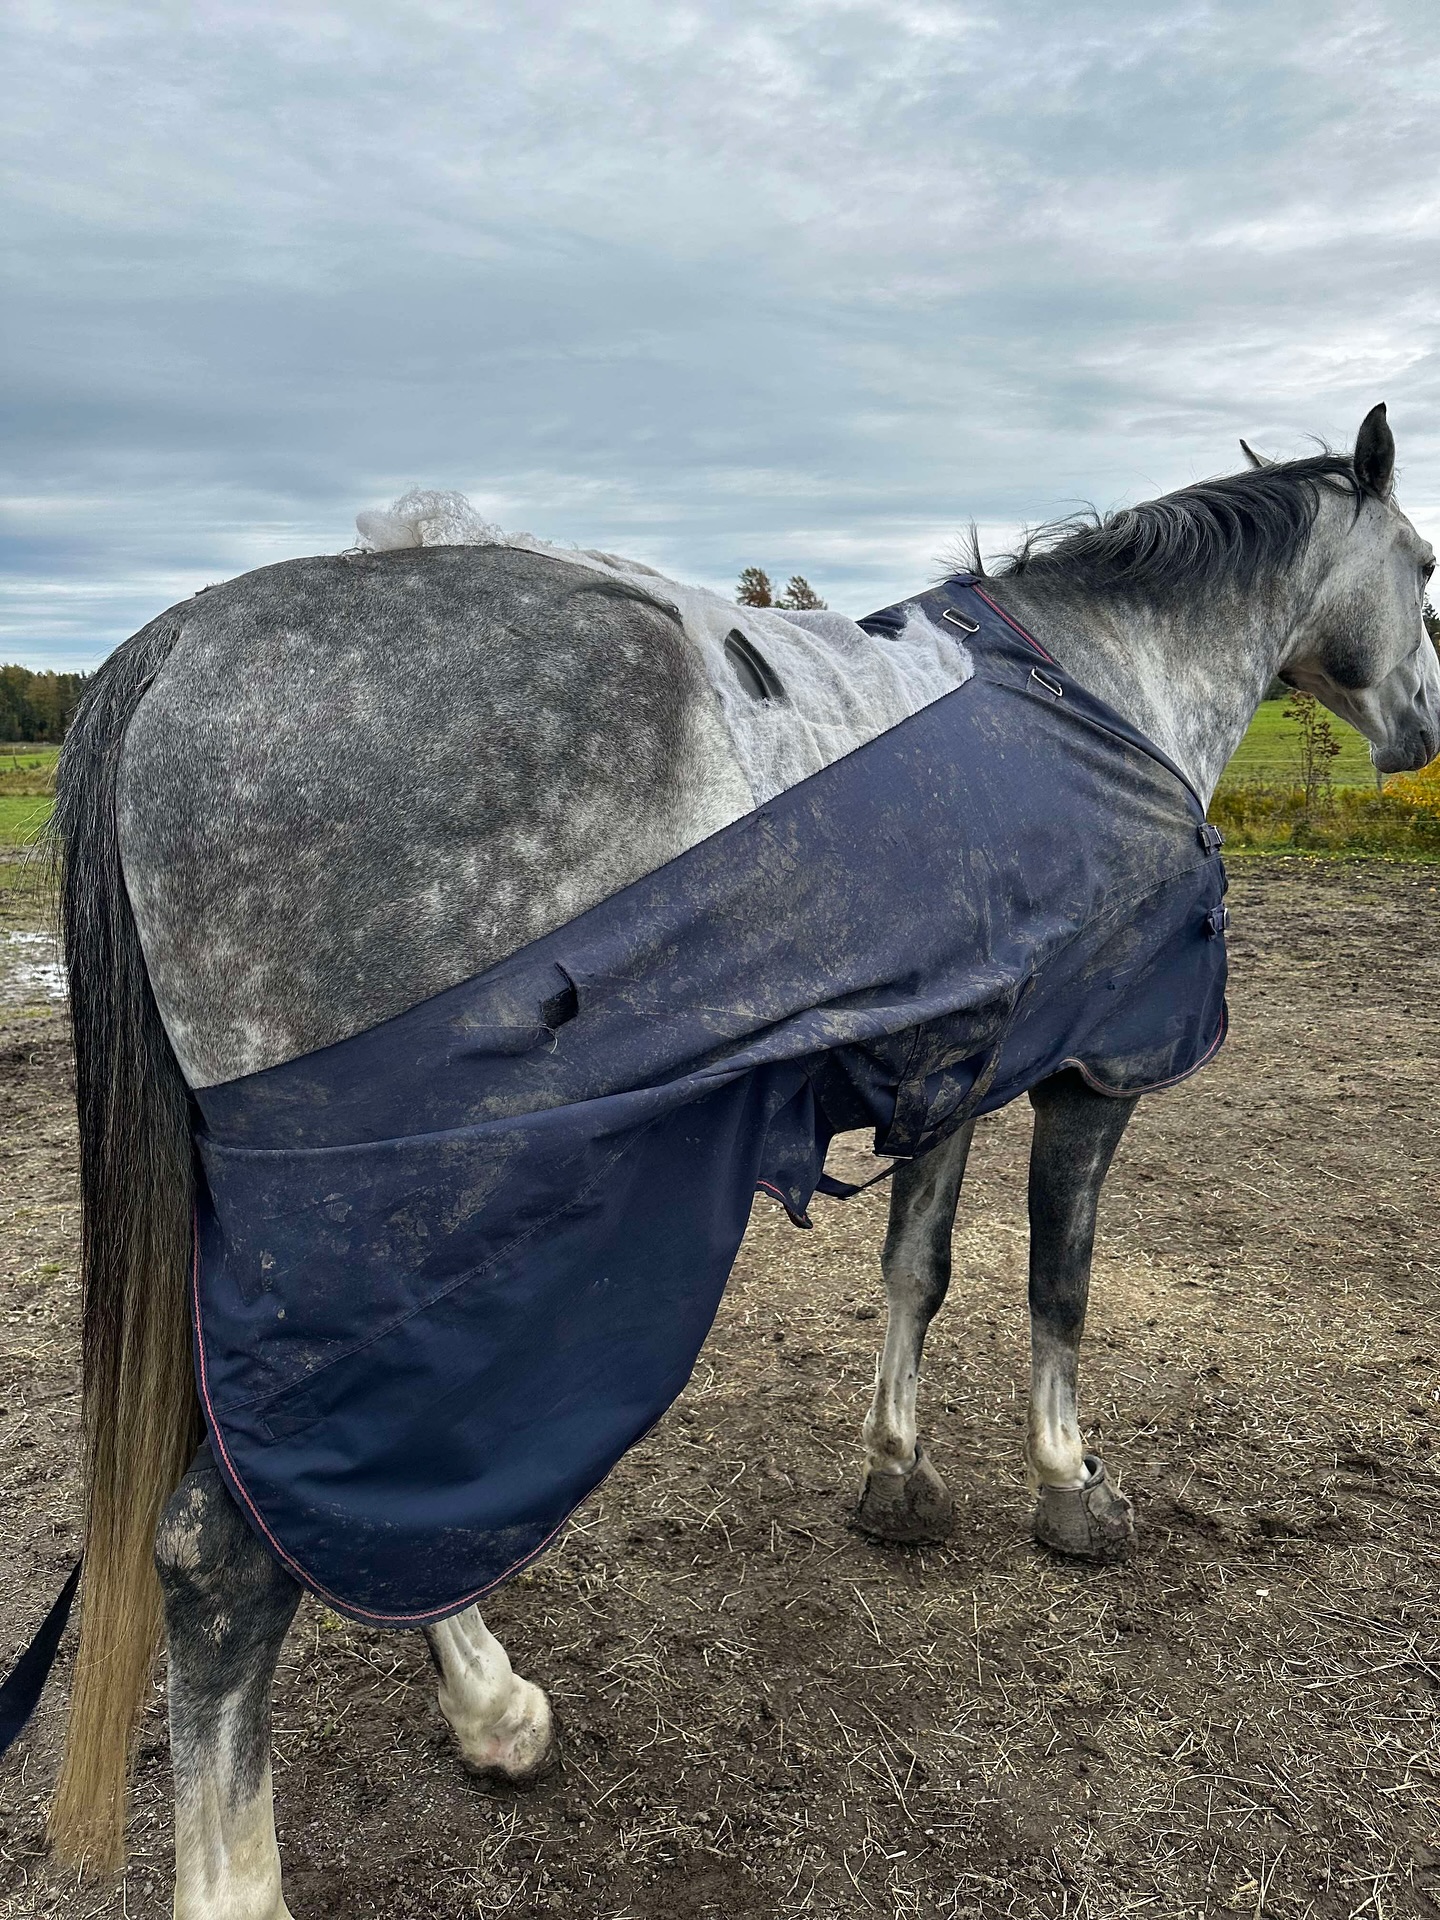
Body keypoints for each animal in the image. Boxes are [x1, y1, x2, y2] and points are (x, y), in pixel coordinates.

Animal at [39, 403, 1438, 1917]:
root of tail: (182, 644)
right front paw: (1071, 1489)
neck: (1107, 689)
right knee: (233, 1553)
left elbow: (920, 1270)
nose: (1423, 728)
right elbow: (1057, 1285)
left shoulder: (959, 1067)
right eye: (1424, 564)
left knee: (375, 1505)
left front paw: (898, 1476)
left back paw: (493, 1710)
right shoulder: (1095, 1071)